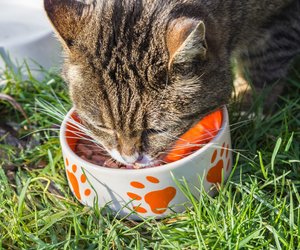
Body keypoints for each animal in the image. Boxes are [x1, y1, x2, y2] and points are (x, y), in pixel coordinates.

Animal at [43, 0, 298, 167]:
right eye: (102, 126)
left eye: (157, 130)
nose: (130, 159)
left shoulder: (281, 18)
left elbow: (264, 63)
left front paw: (251, 105)